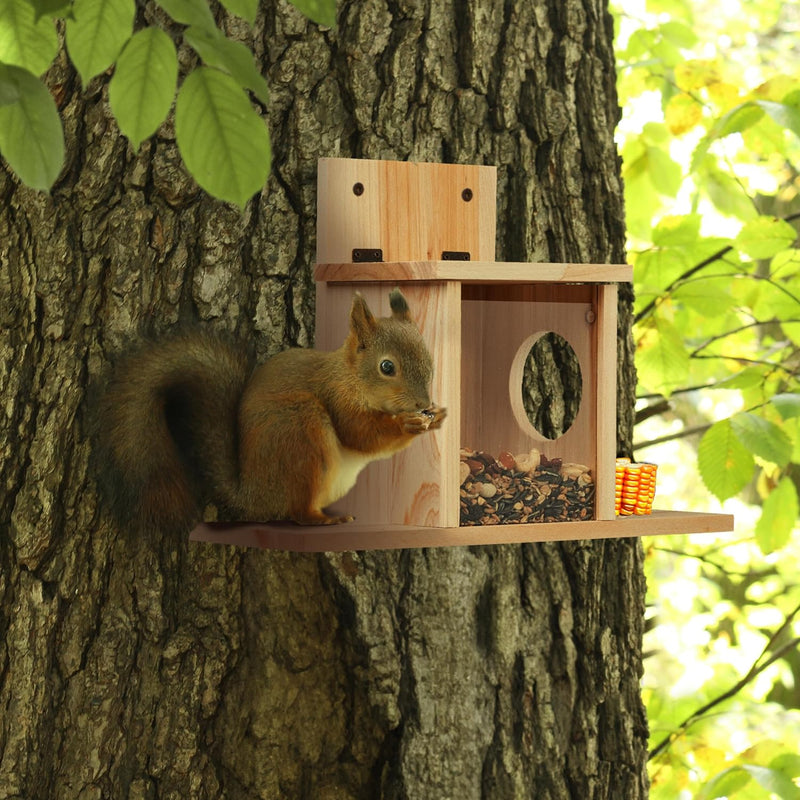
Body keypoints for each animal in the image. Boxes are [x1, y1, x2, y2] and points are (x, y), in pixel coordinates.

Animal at [97, 288, 446, 532]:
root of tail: (253, 495)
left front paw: (438, 416)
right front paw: (408, 424)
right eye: (387, 367)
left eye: (429, 357)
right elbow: (361, 435)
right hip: (299, 431)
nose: (422, 404)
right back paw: (322, 520)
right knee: (298, 513)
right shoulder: (337, 398)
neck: (350, 377)